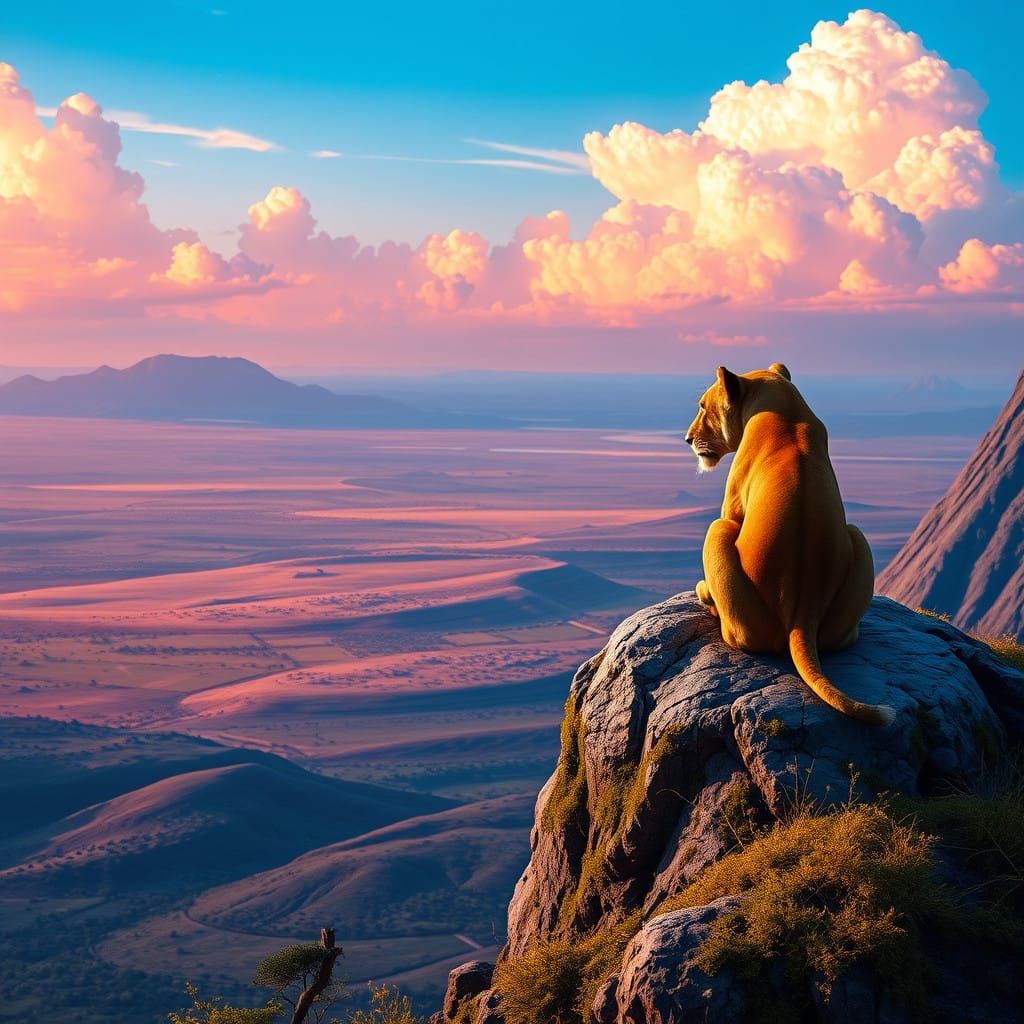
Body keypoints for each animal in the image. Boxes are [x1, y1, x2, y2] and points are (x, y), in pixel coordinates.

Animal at [685, 362, 893, 726]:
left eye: (702, 406)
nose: (686, 438)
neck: (784, 406)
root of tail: (802, 614)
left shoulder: (732, 506)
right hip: (857, 536)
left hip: (718, 533)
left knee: (734, 630)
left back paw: (706, 599)